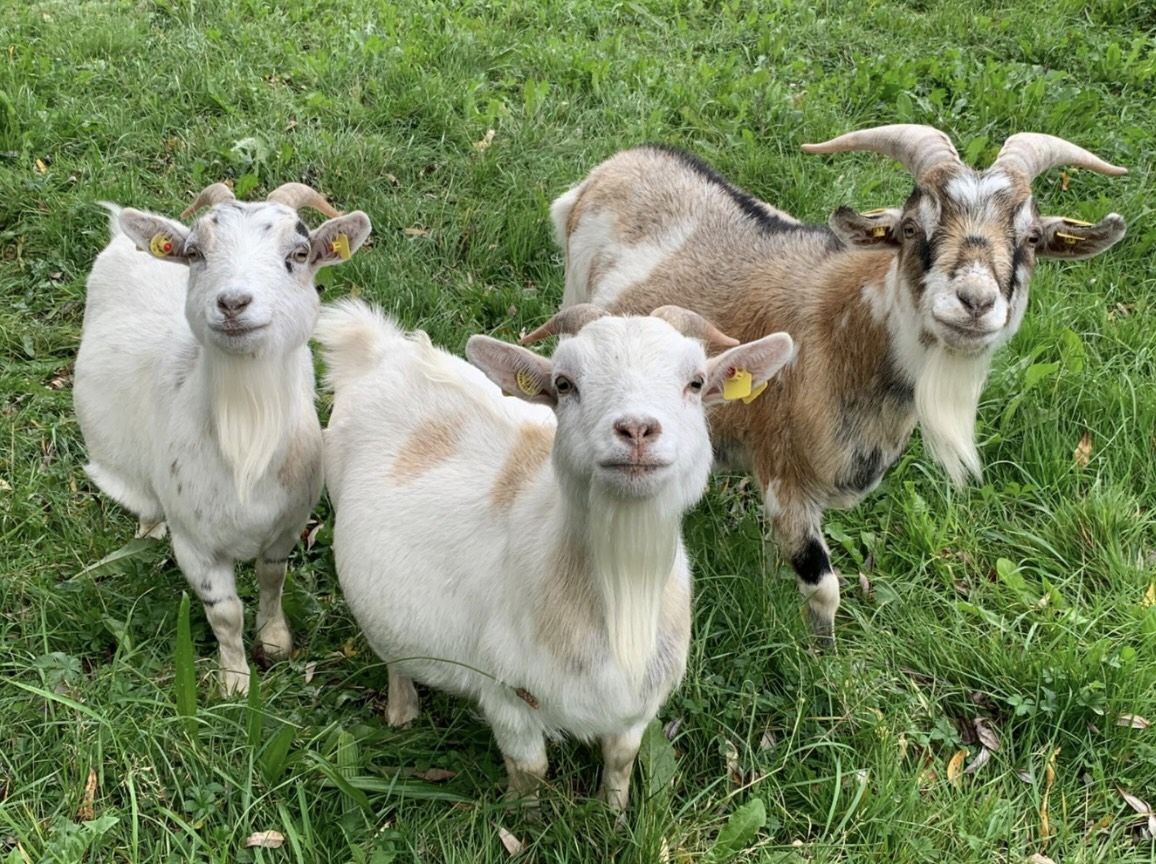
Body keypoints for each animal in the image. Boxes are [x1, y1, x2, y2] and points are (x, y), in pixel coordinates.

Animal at [74, 182, 372, 694]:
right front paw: (235, 682)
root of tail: (120, 236)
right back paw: (148, 528)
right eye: (195, 252)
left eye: (299, 253)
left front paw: (274, 641)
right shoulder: (195, 544)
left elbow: (272, 578)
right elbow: (226, 613)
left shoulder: (287, 524)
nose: (233, 303)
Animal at [317, 300, 793, 809]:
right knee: (391, 652)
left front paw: (613, 814)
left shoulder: (639, 702)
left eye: (696, 382)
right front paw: (521, 818)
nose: (636, 429)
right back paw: (402, 709)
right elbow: (531, 769)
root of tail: (381, 349)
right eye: (564, 384)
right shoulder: (504, 694)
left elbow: (621, 760)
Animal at [551, 124, 1127, 642]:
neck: (843, 335)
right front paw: (820, 653)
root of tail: (616, 166)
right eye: (912, 228)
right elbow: (824, 586)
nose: (975, 301)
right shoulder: (786, 476)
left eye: (1030, 238)